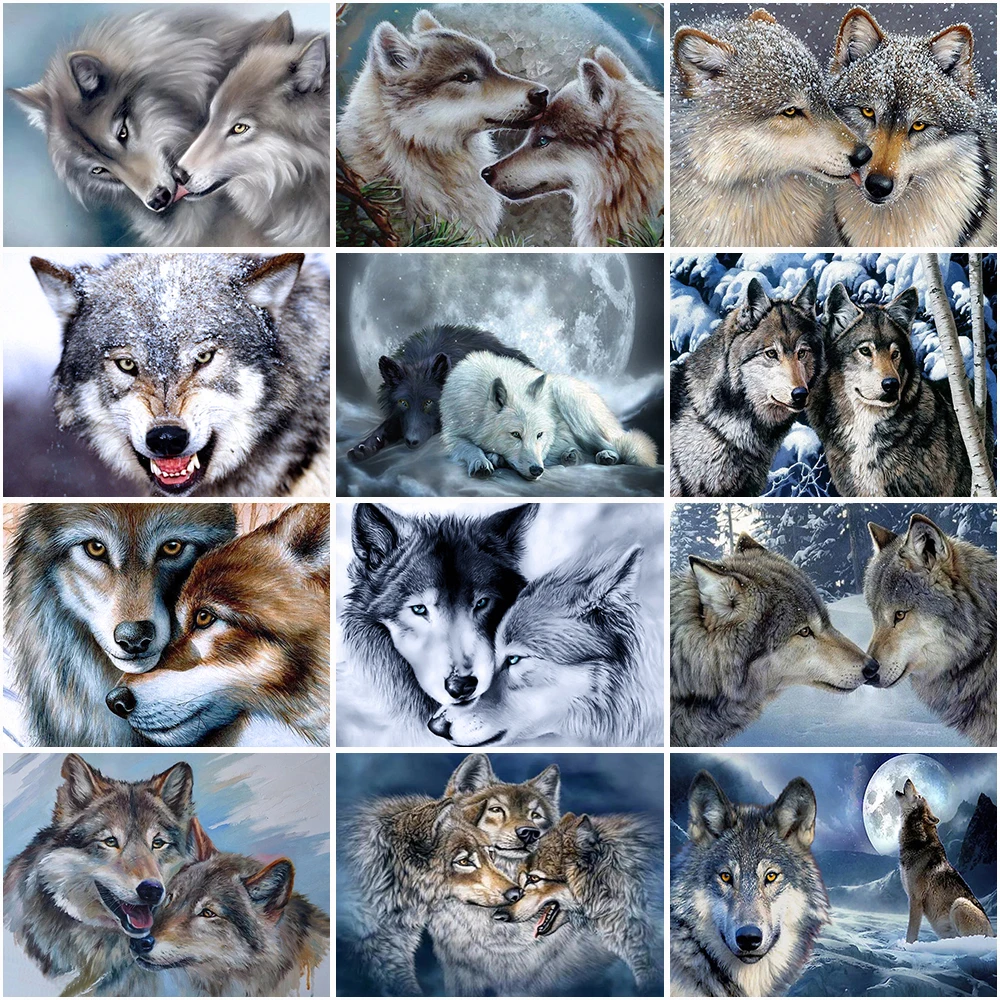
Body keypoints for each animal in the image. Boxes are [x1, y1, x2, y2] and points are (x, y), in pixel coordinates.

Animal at [440, 352, 658, 480]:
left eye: (539, 435)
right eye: (515, 434)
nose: (537, 470)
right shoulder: (452, 433)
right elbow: (468, 446)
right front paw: (482, 460)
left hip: (569, 398)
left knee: (619, 447)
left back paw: (604, 456)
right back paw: (571, 456)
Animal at [895, 778, 995, 942]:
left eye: (919, 795)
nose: (908, 779)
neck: (917, 842)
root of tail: (993, 934)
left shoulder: (915, 900)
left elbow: (911, 934)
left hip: (960, 903)